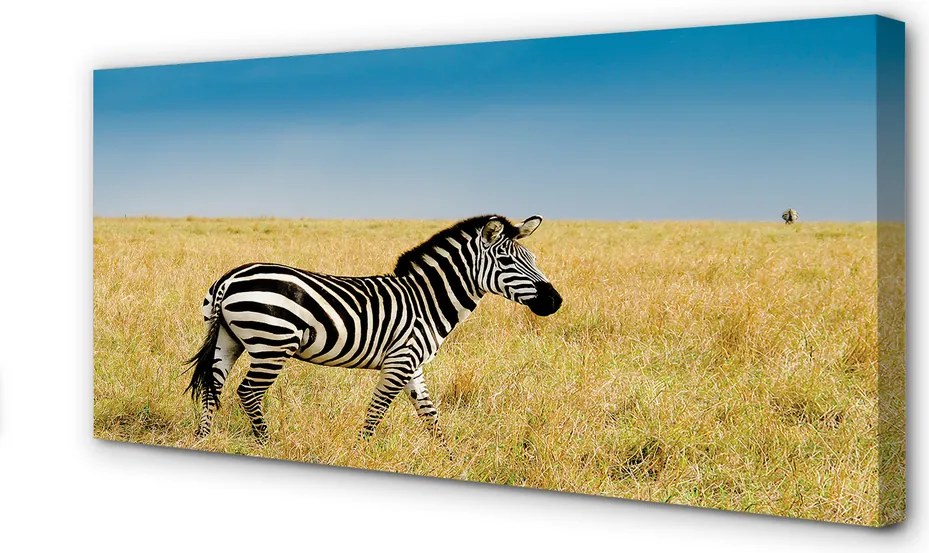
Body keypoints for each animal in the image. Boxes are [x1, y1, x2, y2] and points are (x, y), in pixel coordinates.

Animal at [186, 214, 563, 444]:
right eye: (507, 261)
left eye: (532, 259)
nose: (555, 301)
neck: (427, 300)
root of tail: (230, 278)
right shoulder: (400, 362)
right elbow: (377, 410)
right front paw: (361, 449)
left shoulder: (413, 365)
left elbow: (430, 414)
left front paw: (448, 456)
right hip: (272, 344)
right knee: (248, 392)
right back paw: (266, 442)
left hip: (227, 340)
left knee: (212, 388)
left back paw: (204, 439)